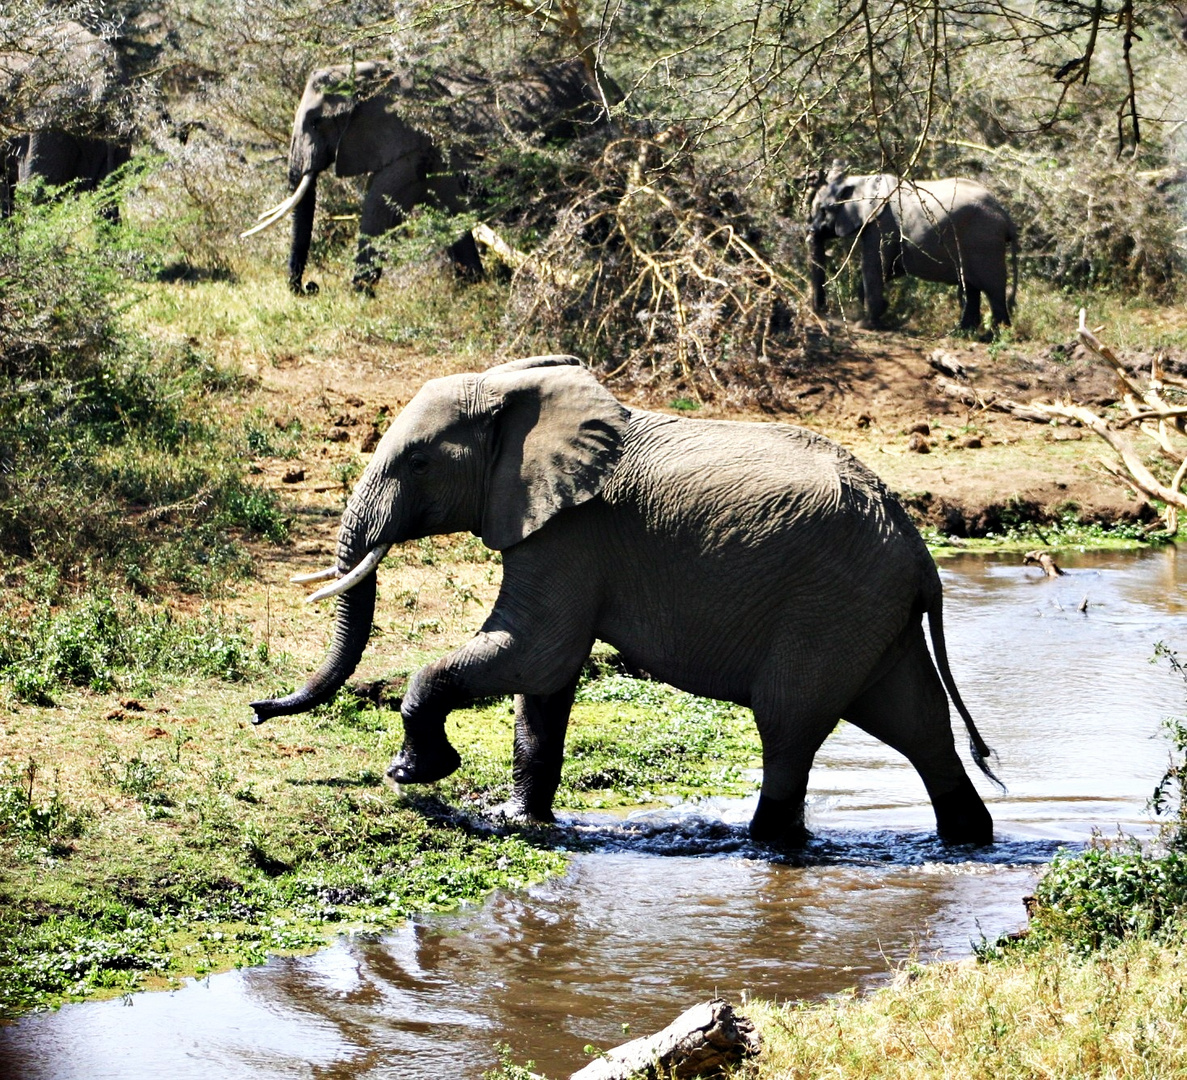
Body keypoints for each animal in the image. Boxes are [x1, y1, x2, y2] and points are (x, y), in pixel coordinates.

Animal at [240, 56, 612, 294]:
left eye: (317, 121)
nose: (309, 286)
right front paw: (472, 286)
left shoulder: (410, 145)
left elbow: (377, 207)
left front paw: (359, 292)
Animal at [250, 356, 1001, 845]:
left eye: (417, 463)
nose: (257, 711)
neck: (513, 393)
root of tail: (921, 558)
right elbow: (543, 682)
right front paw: (520, 820)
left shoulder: (570, 533)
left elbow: (536, 651)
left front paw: (414, 772)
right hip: (869, 614)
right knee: (918, 724)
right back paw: (968, 838)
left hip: (830, 608)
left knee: (789, 726)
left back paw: (765, 845)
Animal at [807, 164, 1020, 332]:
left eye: (823, 210)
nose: (822, 314)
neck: (860, 180)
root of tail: (1005, 216)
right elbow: (890, 268)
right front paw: (881, 309)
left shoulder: (882, 223)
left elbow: (874, 266)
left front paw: (865, 325)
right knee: (971, 288)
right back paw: (963, 332)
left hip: (984, 241)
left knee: (993, 289)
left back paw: (993, 334)